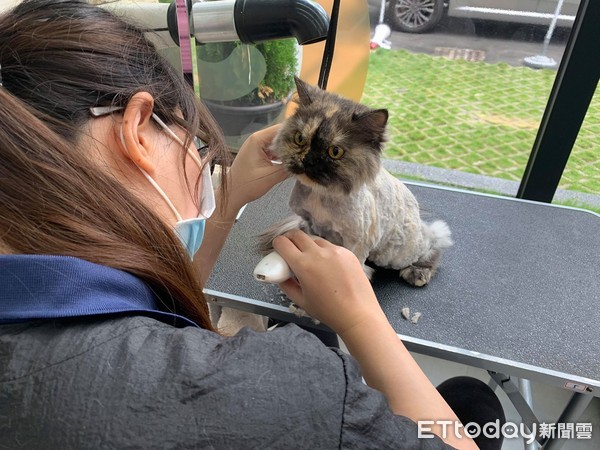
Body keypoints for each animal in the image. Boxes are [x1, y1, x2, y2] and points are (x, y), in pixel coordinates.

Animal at [260, 77, 452, 286]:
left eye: (335, 152)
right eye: (300, 139)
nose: (308, 160)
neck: (321, 195)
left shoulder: (357, 241)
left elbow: (355, 264)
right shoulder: (311, 224)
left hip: (395, 252)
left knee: (434, 242)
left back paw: (418, 271)